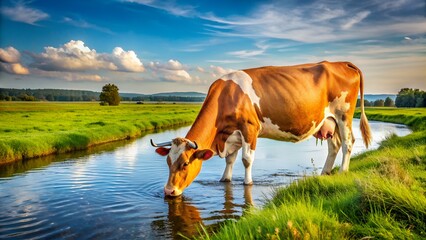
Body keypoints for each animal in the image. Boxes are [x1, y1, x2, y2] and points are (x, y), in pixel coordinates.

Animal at [151, 61, 372, 196]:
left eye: (184, 164)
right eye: (168, 162)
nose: (168, 191)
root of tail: (341, 63)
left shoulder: (249, 128)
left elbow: (246, 160)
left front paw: (247, 183)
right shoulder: (233, 134)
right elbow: (230, 160)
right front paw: (225, 179)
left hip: (344, 115)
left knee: (348, 143)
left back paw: (343, 171)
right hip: (329, 121)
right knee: (334, 145)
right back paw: (325, 173)